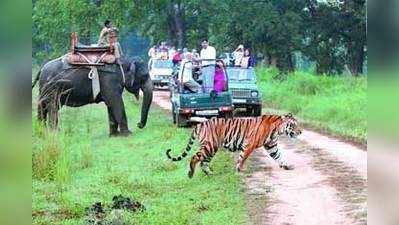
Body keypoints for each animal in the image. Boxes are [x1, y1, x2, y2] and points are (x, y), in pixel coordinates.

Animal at [166, 113, 304, 178]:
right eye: (293, 125)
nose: (300, 131)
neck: (277, 130)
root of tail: (200, 124)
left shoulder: (271, 146)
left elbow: (278, 156)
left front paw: (286, 166)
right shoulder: (249, 145)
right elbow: (243, 157)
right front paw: (240, 169)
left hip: (211, 148)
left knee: (203, 162)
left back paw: (210, 174)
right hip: (210, 146)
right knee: (195, 158)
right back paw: (191, 173)